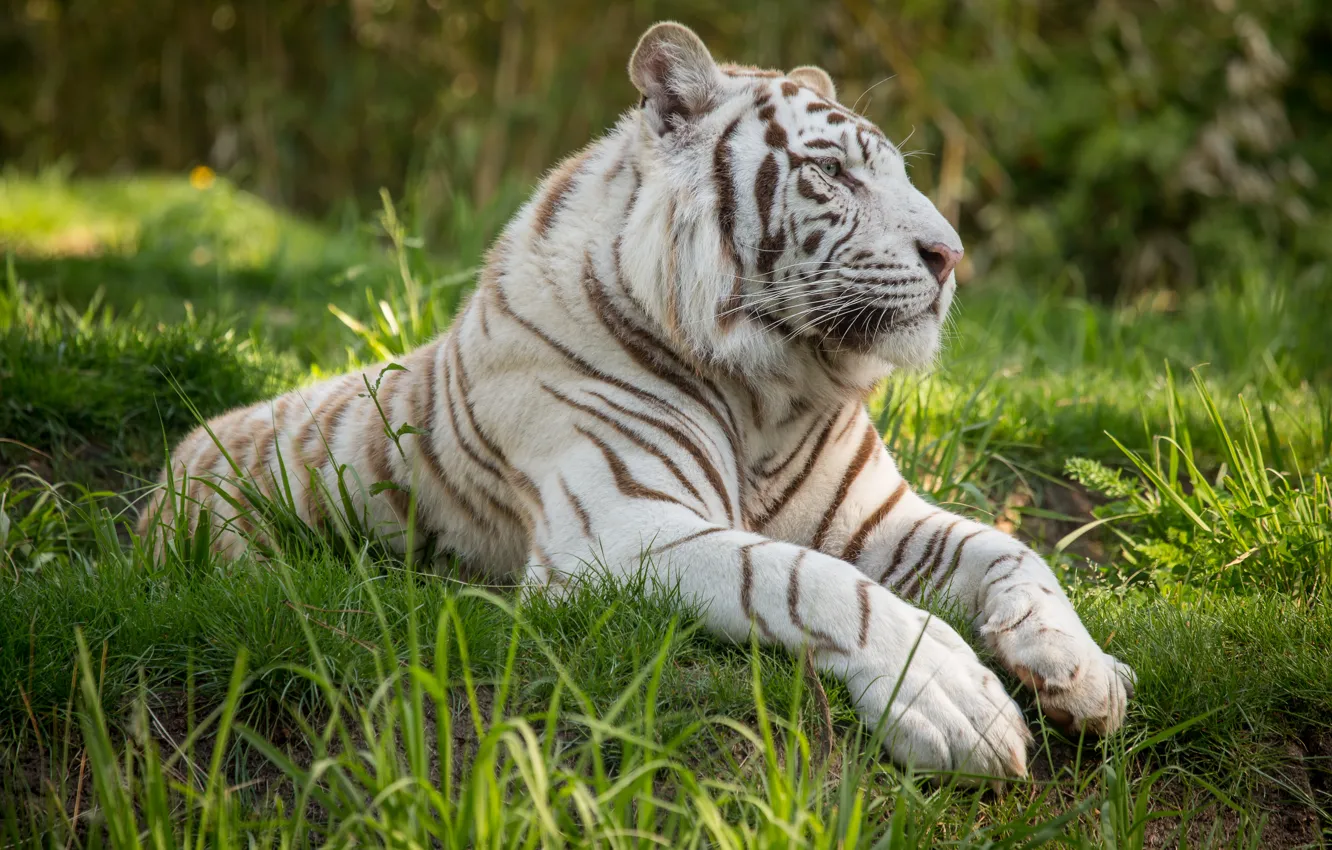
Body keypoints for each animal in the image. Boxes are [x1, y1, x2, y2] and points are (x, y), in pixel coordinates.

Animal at [140, 22, 1134, 780]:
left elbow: (1012, 552)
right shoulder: (619, 527)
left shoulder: (873, 516)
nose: (952, 254)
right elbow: (806, 579)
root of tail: (165, 464)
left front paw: (1082, 671)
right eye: (835, 175)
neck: (772, 387)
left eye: (899, 174)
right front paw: (957, 702)